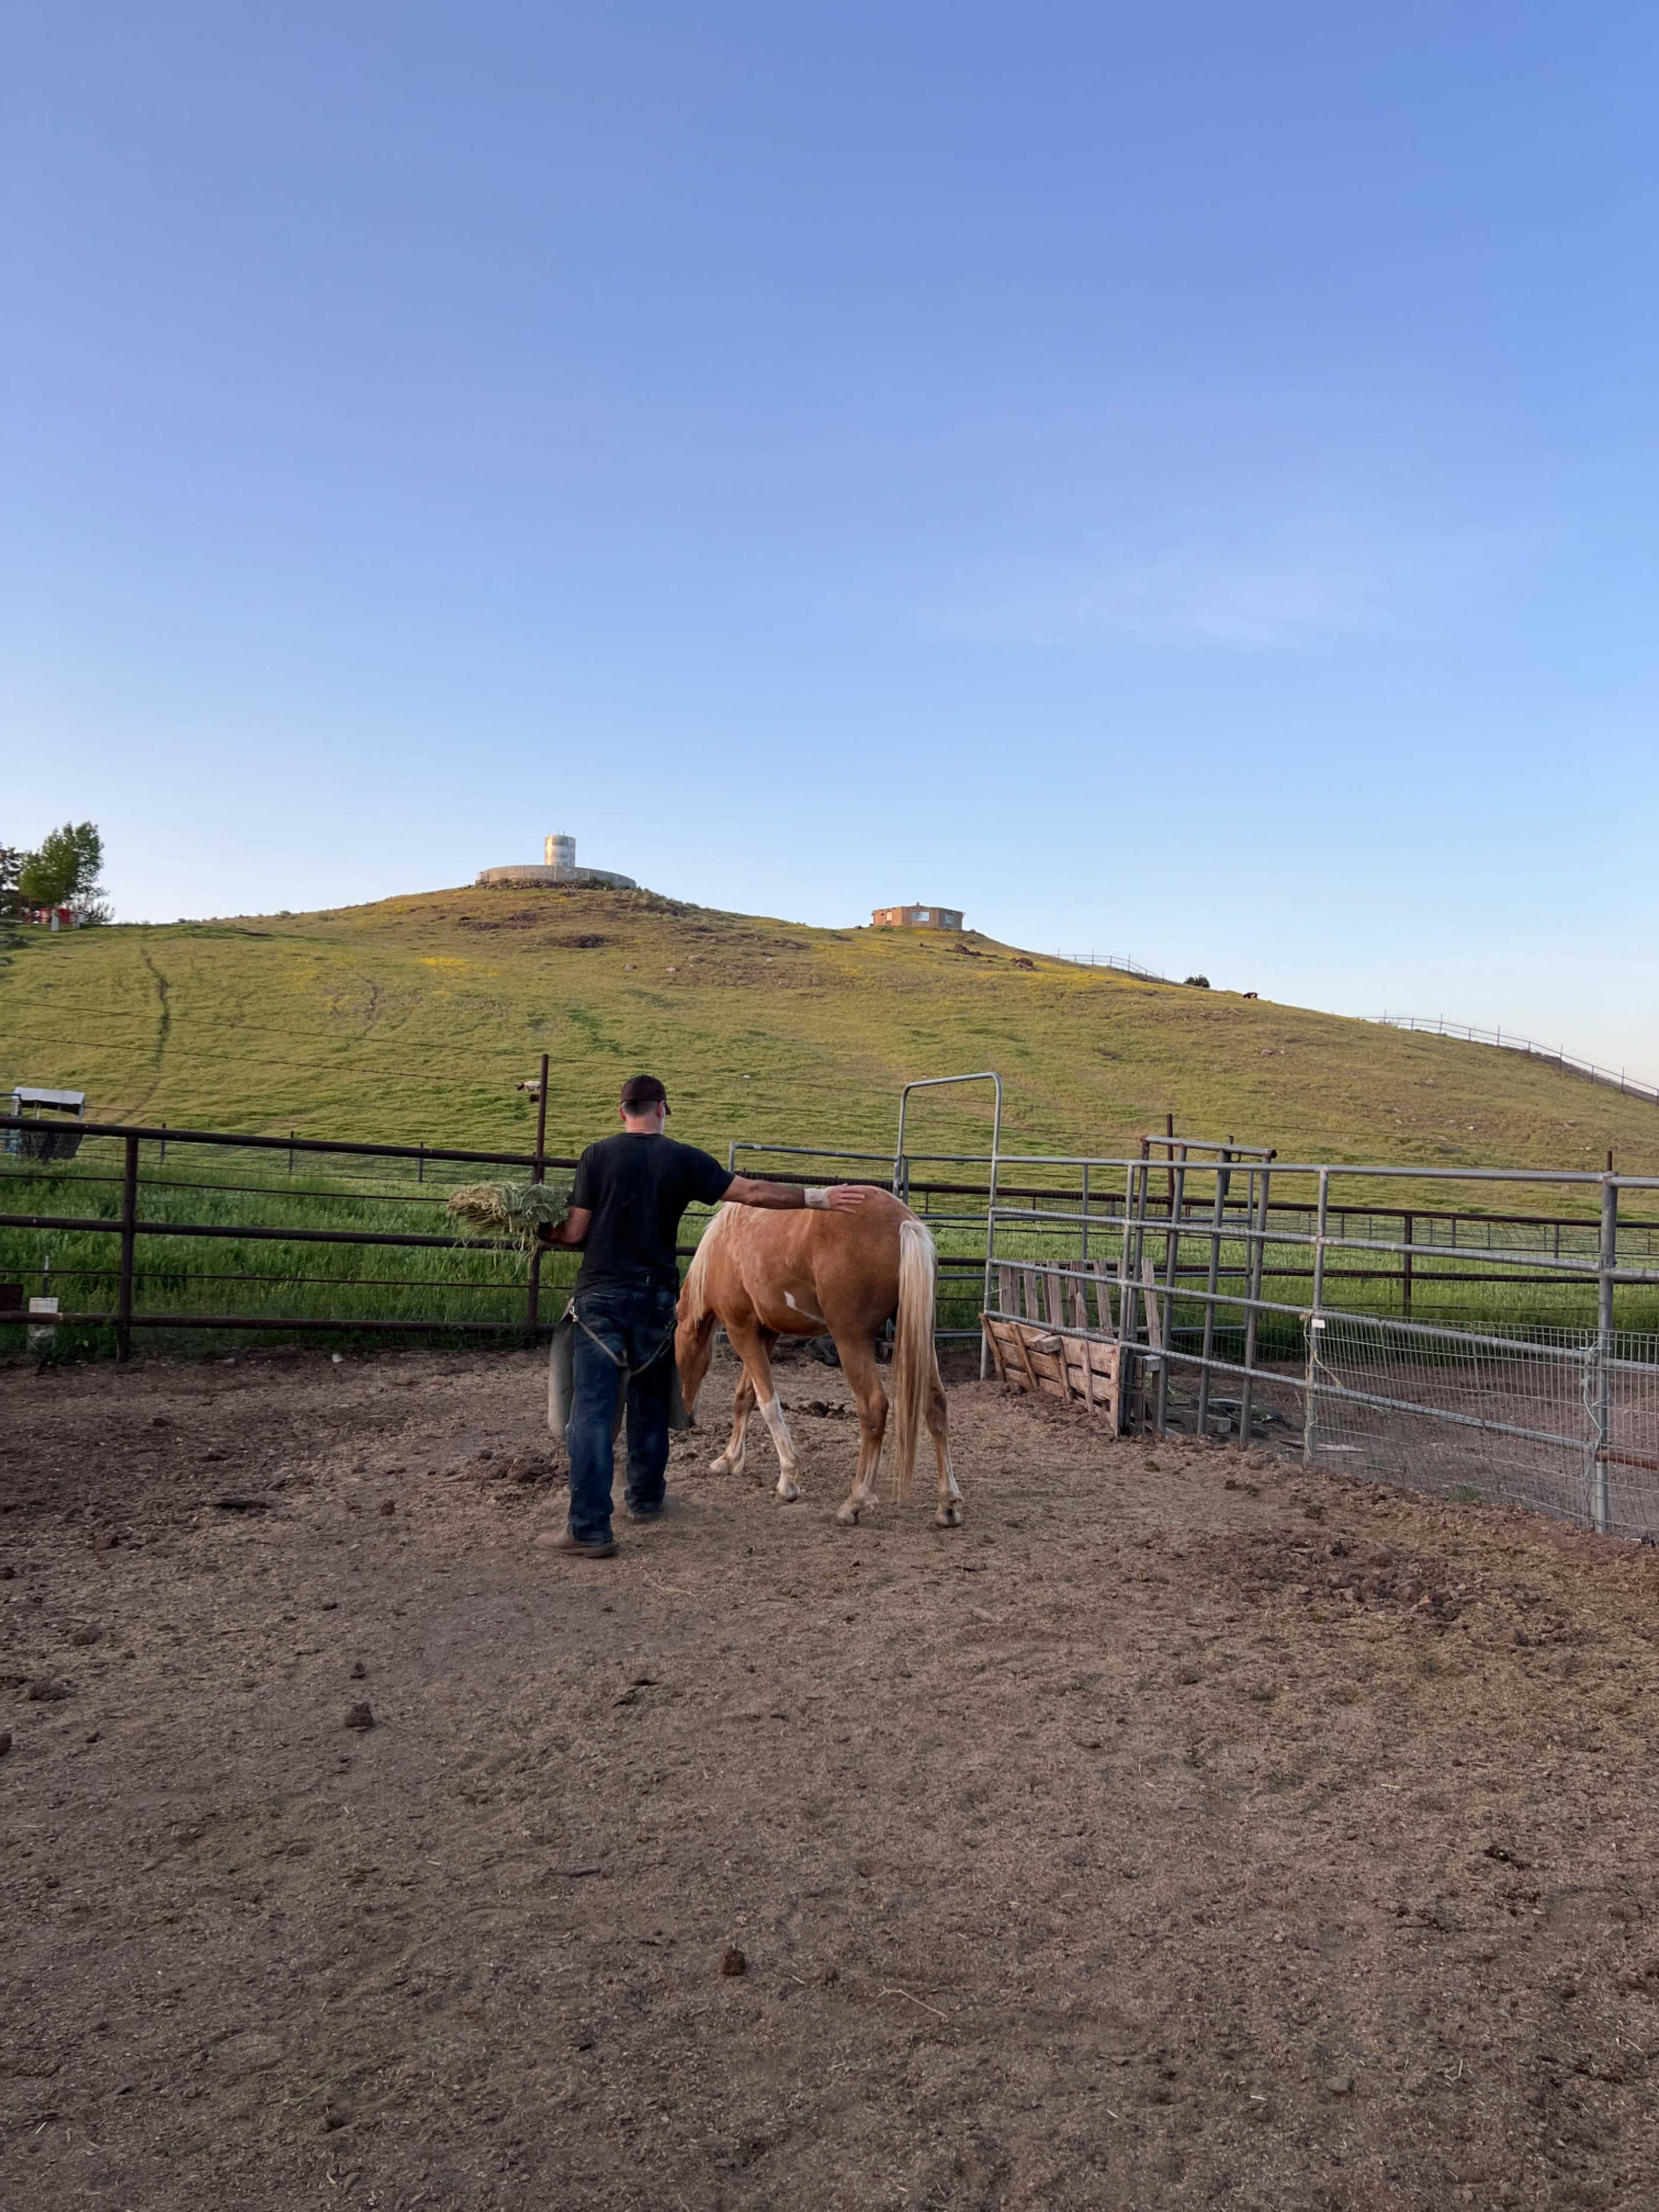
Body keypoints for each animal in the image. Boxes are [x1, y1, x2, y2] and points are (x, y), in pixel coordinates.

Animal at [674, 1189, 963, 1528]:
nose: (685, 1417)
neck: (725, 1246)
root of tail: (905, 1223)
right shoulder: (765, 1335)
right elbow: (745, 1397)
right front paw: (729, 1459)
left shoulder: (741, 1330)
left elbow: (768, 1403)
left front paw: (788, 1480)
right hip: (921, 1335)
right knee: (936, 1405)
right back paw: (947, 1506)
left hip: (851, 1339)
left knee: (874, 1408)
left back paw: (854, 1503)